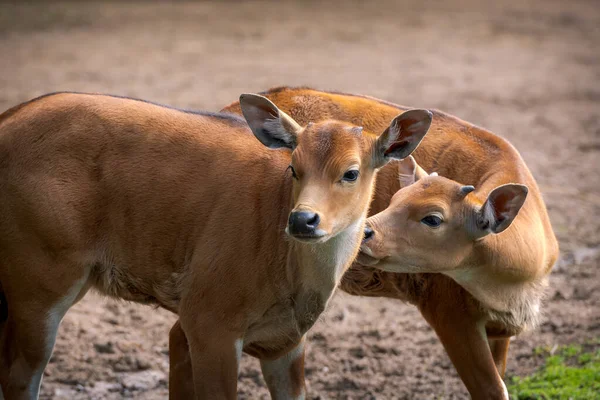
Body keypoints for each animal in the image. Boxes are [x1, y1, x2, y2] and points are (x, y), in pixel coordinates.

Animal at [0, 92, 432, 398]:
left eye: (351, 172)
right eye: (294, 167)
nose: (303, 220)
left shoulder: (286, 343)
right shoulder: (208, 321)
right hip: (40, 282)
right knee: (19, 377)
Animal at [216, 87, 556, 400]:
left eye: (433, 218)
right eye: (395, 199)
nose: (365, 232)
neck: (515, 283)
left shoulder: (500, 330)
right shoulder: (449, 313)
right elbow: (492, 390)